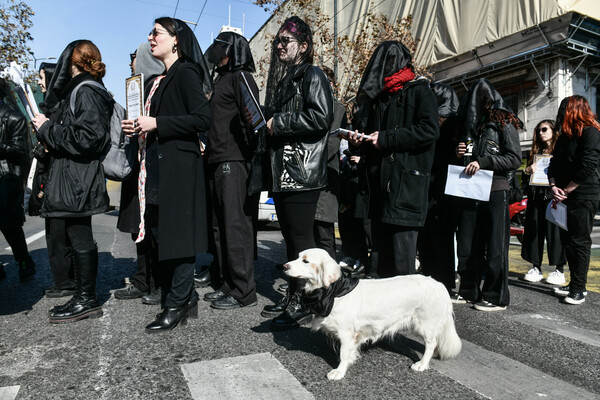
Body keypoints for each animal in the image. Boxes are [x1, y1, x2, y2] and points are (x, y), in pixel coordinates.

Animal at [284, 248, 462, 380]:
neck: (333, 292)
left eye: (305, 261)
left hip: (425, 324)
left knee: (431, 344)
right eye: (298, 256)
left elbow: (344, 354)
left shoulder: (347, 334)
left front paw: (339, 372)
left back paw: (422, 364)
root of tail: (439, 284)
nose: (284, 266)